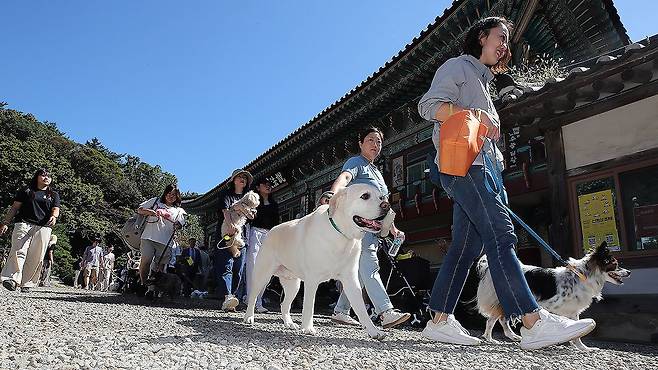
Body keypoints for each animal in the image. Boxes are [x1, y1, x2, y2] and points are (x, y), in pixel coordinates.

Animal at [242, 184, 392, 340]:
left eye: (381, 197)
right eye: (365, 196)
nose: (386, 206)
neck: (341, 234)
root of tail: (271, 230)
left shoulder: (351, 280)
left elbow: (361, 308)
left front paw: (374, 331)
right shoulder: (312, 280)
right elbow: (309, 306)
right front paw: (308, 328)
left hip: (293, 285)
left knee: (284, 305)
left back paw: (289, 323)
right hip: (262, 277)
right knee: (252, 297)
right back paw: (249, 317)